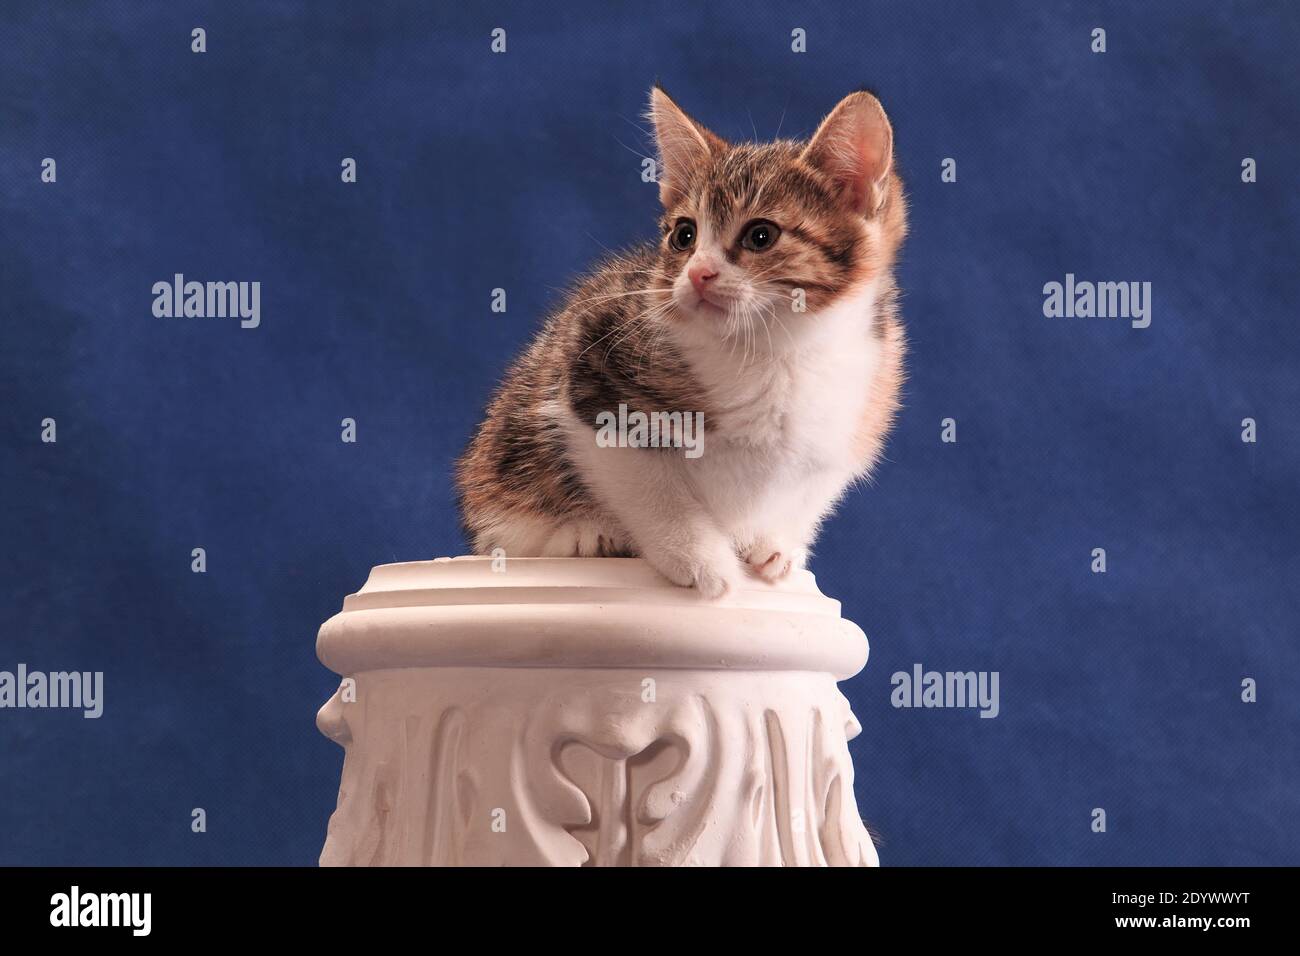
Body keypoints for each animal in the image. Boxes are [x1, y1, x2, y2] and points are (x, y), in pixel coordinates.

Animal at [462, 89, 909, 598]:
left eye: (761, 235)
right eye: (684, 235)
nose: (698, 273)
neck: (777, 351)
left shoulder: (862, 405)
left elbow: (814, 487)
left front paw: (775, 543)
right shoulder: (591, 362)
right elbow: (645, 481)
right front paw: (700, 559)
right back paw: (586, 535)